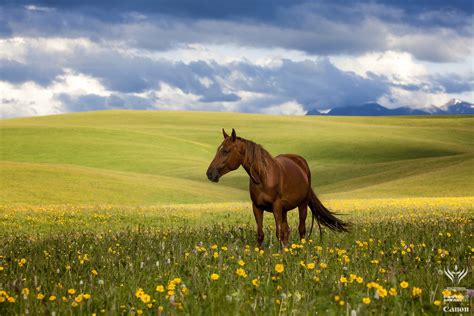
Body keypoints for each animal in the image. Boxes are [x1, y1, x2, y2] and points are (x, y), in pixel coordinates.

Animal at [206, 128, 346, 247]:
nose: (210, 173)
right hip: (284, 210)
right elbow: (261, 234)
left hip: (302, 204)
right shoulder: (257, 207)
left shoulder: (276, 206)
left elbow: (279, 233)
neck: (263, 177)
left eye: (226, 151)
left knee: (301, 229)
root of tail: (301, 162)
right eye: (218, 149)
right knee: (287, 231)